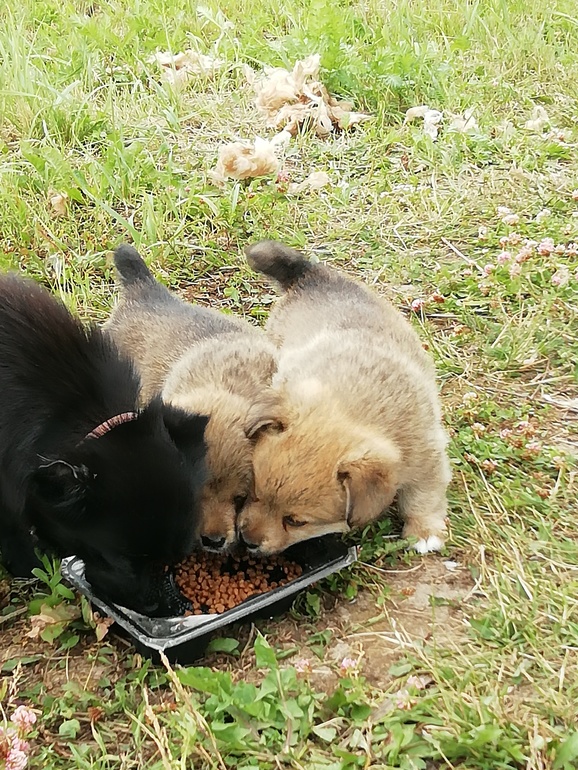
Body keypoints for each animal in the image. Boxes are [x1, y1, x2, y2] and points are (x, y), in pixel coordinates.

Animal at [237, 240, 451, 556]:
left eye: (295, 521)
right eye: (253, 492)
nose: (247, 541)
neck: (354, 403)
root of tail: (310, 273)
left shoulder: (427, 459)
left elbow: (423, 497)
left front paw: (425, 531)